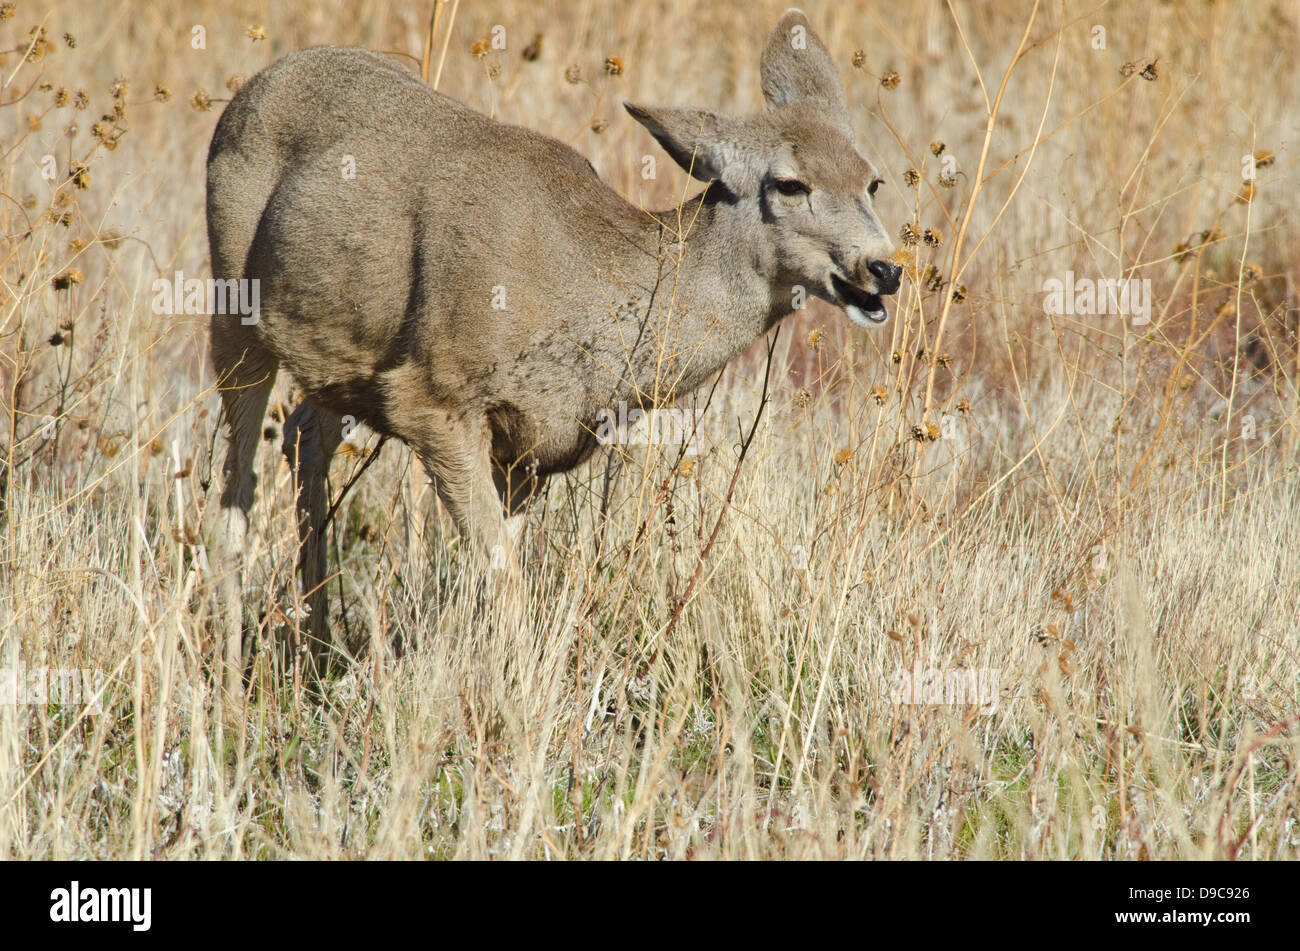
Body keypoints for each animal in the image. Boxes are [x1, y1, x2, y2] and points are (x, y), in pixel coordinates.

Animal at [210, 5, 904, 675]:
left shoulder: (536, 447)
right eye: (789, 183)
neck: (589, 297)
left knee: (303, 433)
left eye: (873, 181)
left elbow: (489, 578)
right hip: (233, 303)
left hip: (338, 357)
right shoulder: (432, 394)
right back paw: (231, 661)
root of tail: (258, 82)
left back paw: (317, 646)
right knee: (238, 477)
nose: (884, 268)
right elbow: (501, 582)